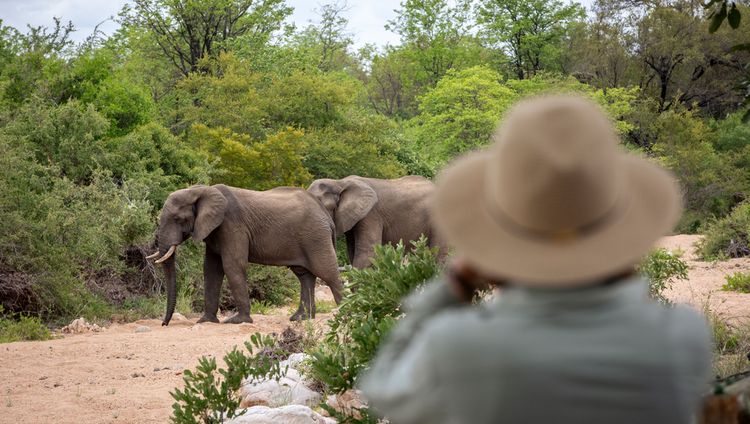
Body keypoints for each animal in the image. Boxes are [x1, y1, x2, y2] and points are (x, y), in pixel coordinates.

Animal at [146, 184, 344, 326]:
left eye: (178, 219)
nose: (164, 324)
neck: (201, 190)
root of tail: (326, 215)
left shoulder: (232, 225)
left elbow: (232, 265)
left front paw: (237, 321)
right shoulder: (214, 231)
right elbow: (211, 270)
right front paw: (206, 321)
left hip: (315, 237)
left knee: (328, 273)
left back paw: (345, 312)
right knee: (304, 275)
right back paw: (301, 318)